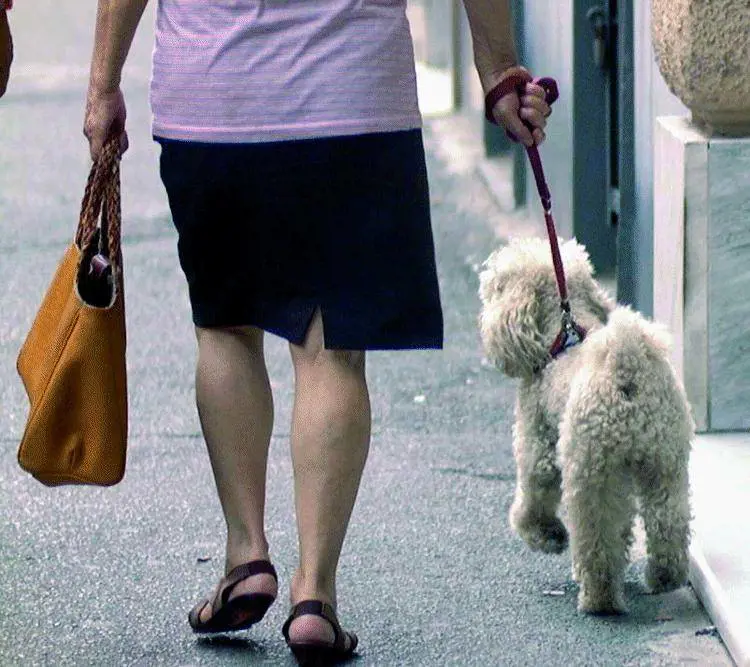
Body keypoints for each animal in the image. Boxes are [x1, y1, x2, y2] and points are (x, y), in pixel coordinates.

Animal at [478, 237, 694, 615]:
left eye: (495, 288)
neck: (563, 338)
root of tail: (625, 366)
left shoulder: (537, 440)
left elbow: (535, 489)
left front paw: (546, 535)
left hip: (591, 469)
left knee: (598, 537)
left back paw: (599, 599)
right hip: (664, 459)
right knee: (668, 518)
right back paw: (664, 577)